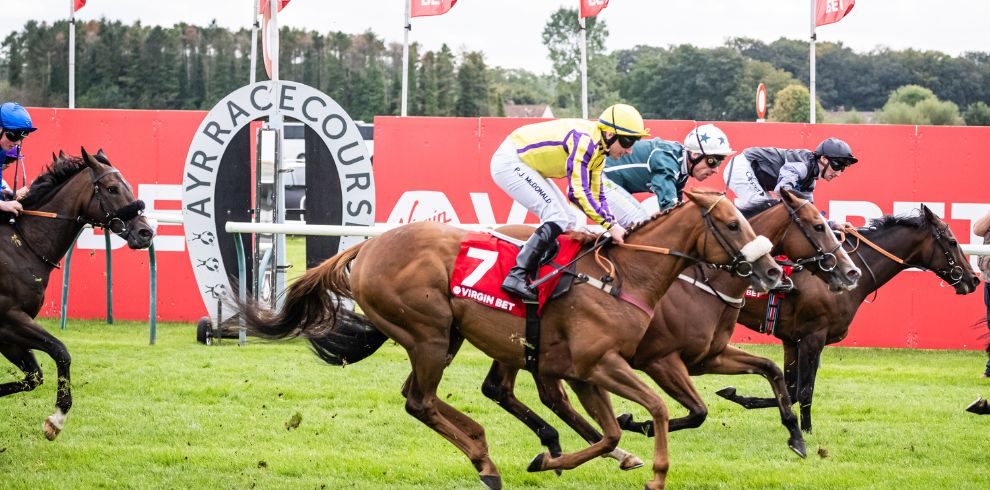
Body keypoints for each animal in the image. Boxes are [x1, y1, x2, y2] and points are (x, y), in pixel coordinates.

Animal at [0, 149, 154, 440]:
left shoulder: (9, 331)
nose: (146, 232)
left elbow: (34, 377)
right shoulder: (10, 318)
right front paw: (57, 419)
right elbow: (61, 351)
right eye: (112, 188)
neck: (22, 245)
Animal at [238, 189, 784, 490]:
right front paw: (656, 472)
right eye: (732, 223)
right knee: (420, 401)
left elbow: (610, 430)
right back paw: (485, 460)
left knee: (432, 396)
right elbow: (659, 409)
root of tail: (368, 246)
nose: (773, 271)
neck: (624, 276)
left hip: (456, 338)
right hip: (429, 334)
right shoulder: (605, 363)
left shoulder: (586, 371)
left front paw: (555, 458)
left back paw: (494, 445)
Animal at [478, 188, 860, 464]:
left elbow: (770, 369)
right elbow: (698, 411)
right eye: (818, 226)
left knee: (505, 390)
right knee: (533, 393)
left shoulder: (709, 357)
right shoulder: (660, 360)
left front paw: (795, 436)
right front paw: (641, 423)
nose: (851, 271)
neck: (704, 282)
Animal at [716, 206, 980, 432]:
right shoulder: (813, 337)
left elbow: (790, 390)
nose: (973, 279)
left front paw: (736, 395)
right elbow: (803, 391)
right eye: (952, 241)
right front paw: (808, 431)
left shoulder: (791, 339)